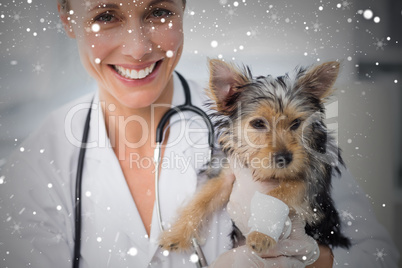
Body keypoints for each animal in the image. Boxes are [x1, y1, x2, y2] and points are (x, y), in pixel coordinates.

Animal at [159, 59, 350, 254]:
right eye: (258, 123)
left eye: (296, 123)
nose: (285, 158)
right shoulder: (227, 172)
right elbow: (202, 198)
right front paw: (178, 234)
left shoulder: (311, 181)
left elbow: (279, 192)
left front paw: (261, 233)